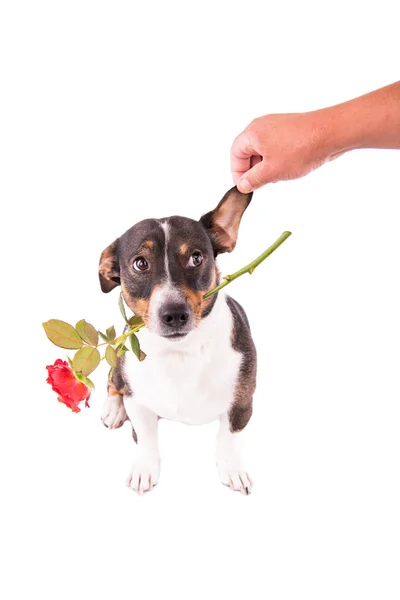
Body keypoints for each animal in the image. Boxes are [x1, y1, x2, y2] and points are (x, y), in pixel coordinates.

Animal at [98, 186, 258, 492]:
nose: (174, 314)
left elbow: (229, 437)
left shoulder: (242, 404)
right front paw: (144, 468)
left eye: (196, 258)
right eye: (140, 263)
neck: (181, 352)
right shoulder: (138, 403)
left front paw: (232, 468)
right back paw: (114, 409)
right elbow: (145, 439)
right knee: (113, 381)